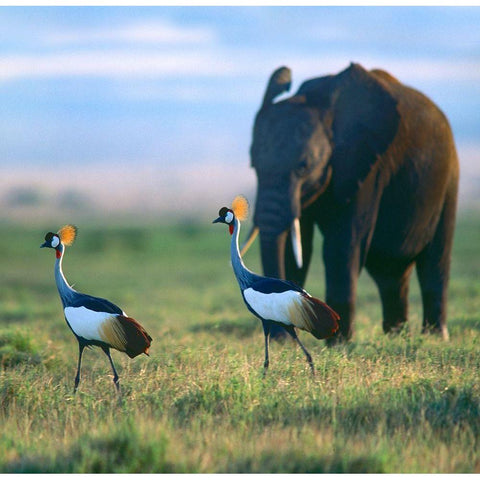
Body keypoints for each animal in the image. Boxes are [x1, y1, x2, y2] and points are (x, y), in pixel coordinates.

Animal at [244, 62, 462, 344]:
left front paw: (337, 343)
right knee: (390, 272)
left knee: (434, 261)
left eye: (303, 167)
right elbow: (299, 246)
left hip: (448, 180)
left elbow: (341, 245)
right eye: (254, 166)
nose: (280, 337)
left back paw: (435, 337)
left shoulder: (366, 165)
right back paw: (397, 336)